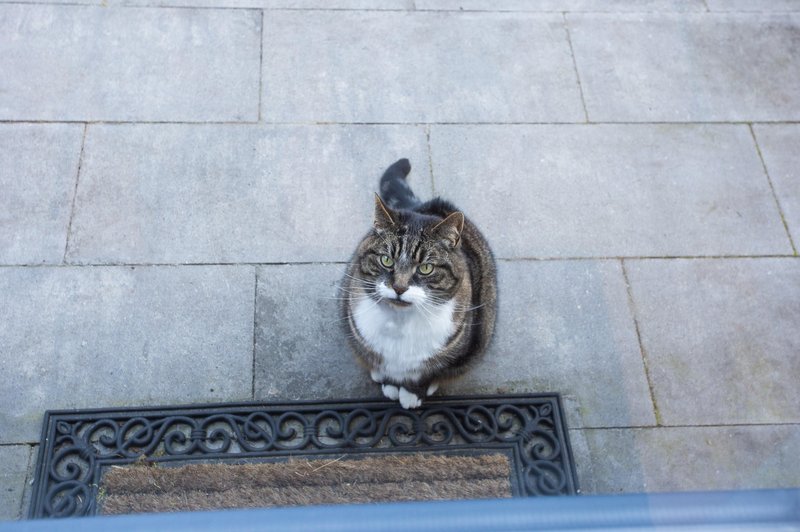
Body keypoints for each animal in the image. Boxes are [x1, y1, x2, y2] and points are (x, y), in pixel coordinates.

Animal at [340, 157, 496, 408]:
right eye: (386, 260)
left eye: (426, 268)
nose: (399, 287)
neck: (400, 323)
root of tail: (427, 205)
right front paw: (388, 382)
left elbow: (428, 373)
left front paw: (412, 394)